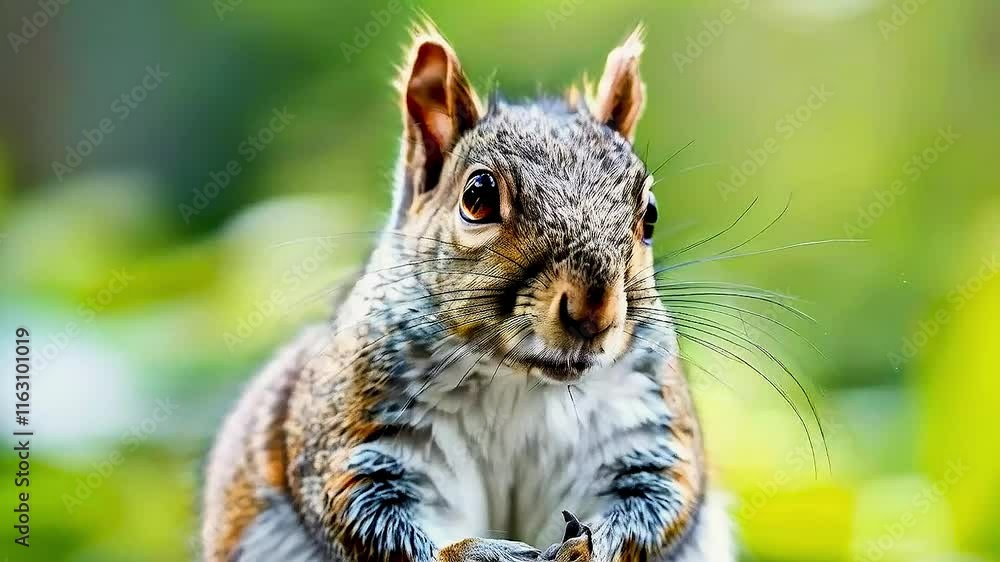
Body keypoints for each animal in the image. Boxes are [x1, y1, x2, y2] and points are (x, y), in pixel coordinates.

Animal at [202, 21, 734, 562]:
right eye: (477, 197)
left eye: (650, 214)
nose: (594, 311)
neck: (520, 382)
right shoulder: (360, 434)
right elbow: (372, 518)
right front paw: (484, 552)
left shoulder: (640, 427)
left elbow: (655, 502)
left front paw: (591, 547)